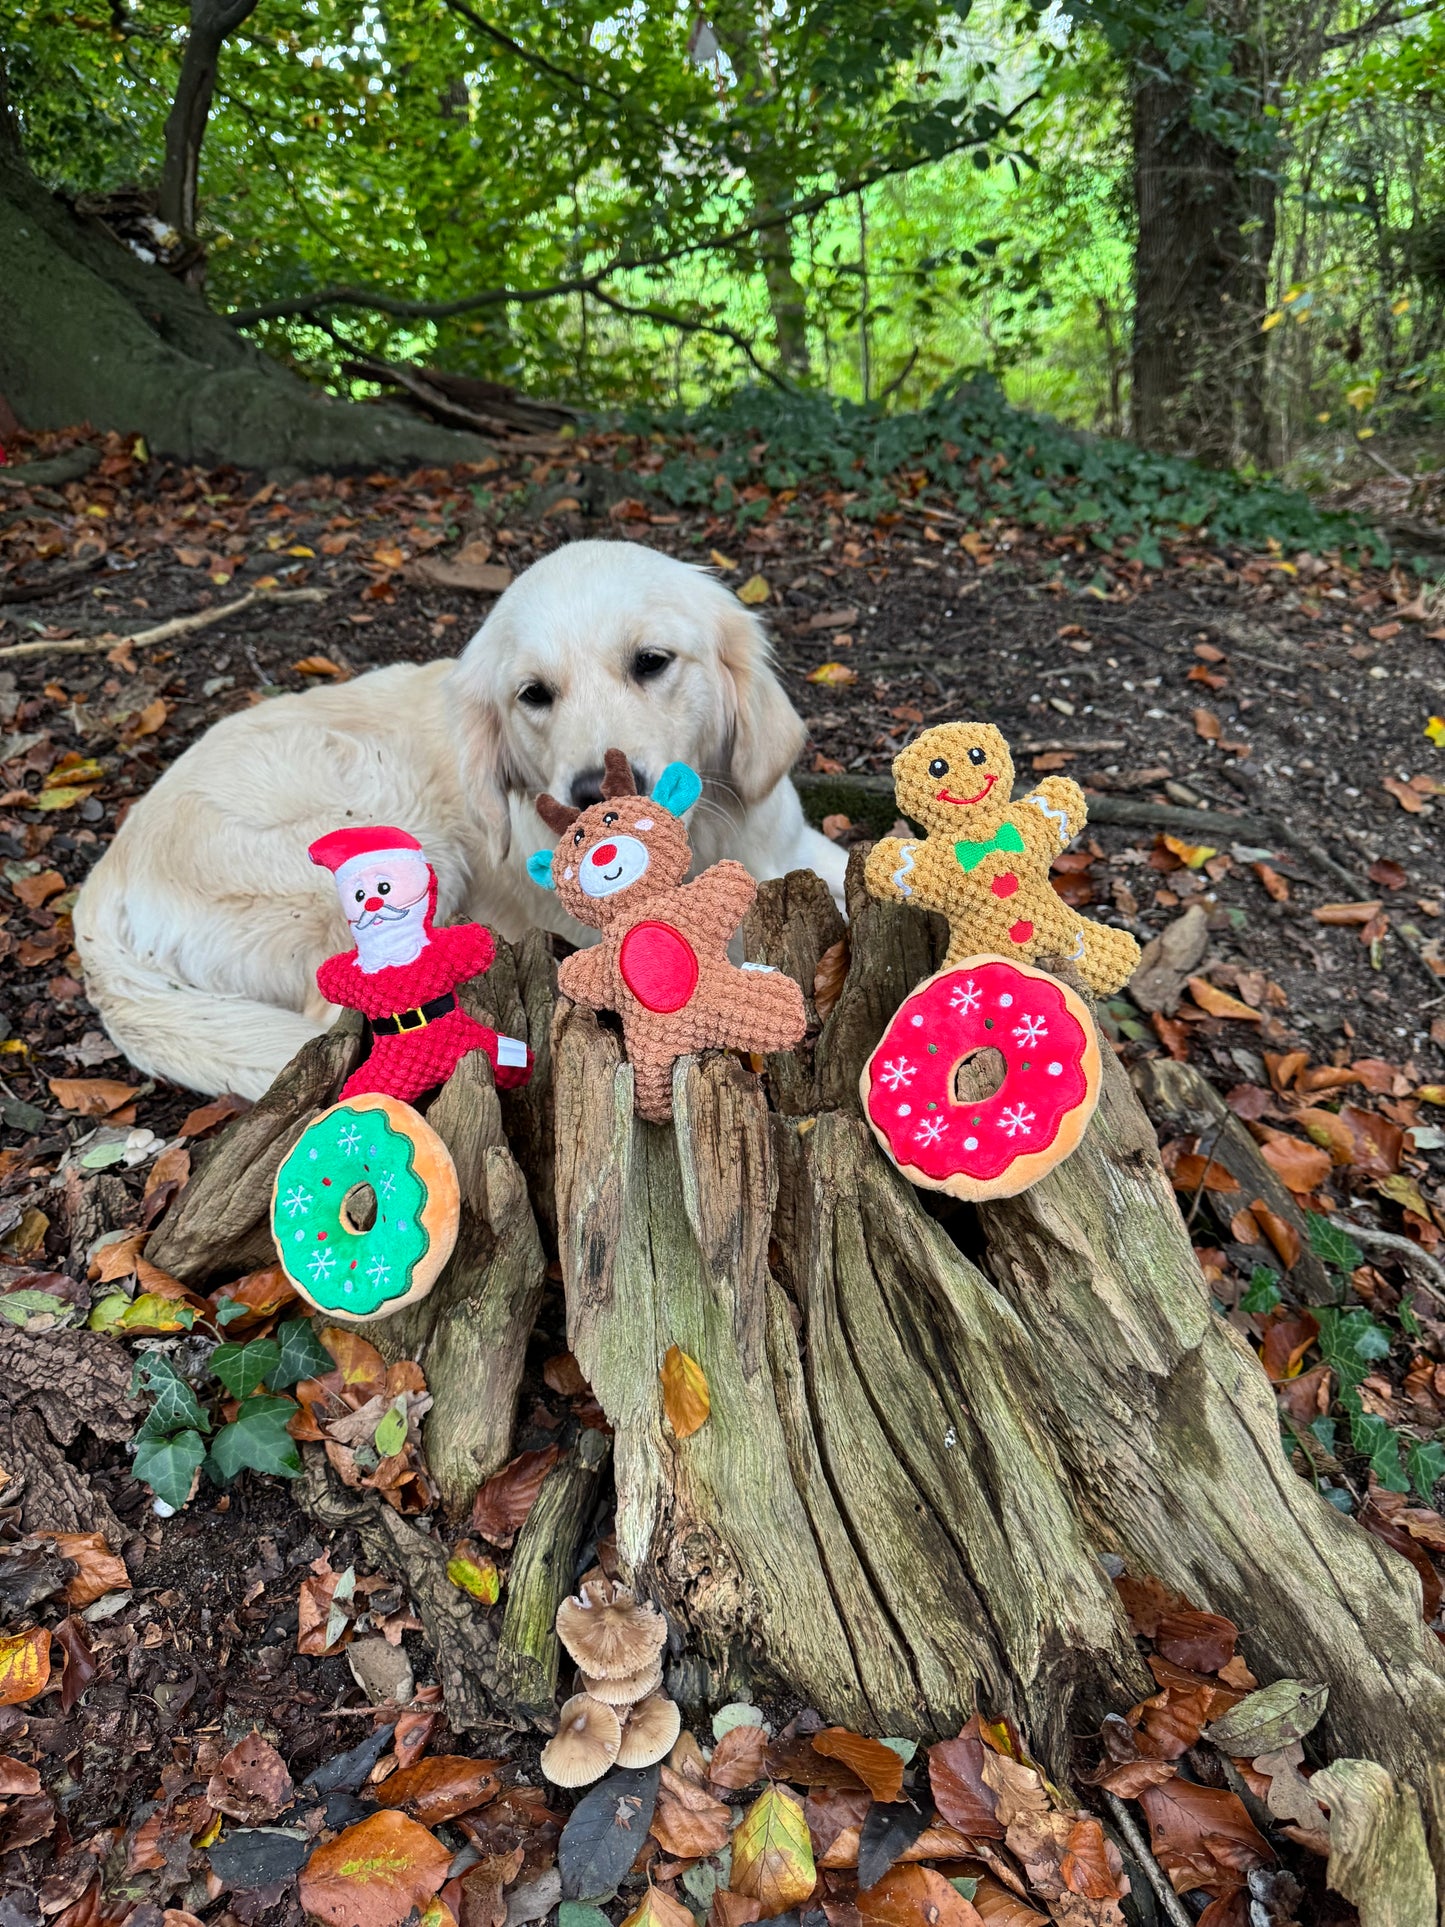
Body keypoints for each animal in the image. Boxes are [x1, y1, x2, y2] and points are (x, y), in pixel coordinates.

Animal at [76, 543, 847, 1102]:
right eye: (533, 694)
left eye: (652, 662)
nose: (592, 799)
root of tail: (99, 886)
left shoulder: (792, 847)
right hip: (396, 831)